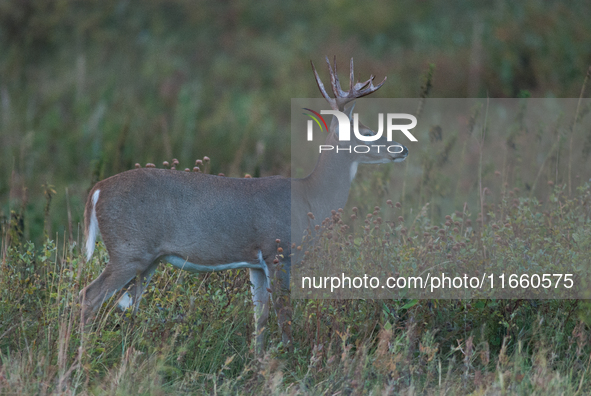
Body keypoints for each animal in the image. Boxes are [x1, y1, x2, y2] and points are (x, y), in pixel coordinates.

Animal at [82, 56, 408, 352]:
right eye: (367, 132)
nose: (402, 148)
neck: (309, 196)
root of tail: (96, 190)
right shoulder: (278, 252)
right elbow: (284, 315)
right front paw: (288, 360)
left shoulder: (256, 264)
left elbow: (259, 317)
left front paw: (259, 361)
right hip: (128, 251)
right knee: (89, 296)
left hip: (147, 260)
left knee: (124, 305)